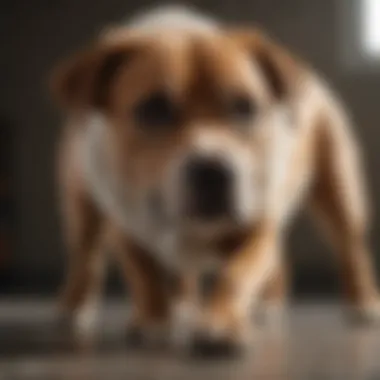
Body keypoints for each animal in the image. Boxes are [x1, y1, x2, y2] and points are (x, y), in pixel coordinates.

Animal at [49, 5, 380, 354]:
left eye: (245, 108)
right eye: (153, 109)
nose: (213, 170)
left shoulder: (256, 226)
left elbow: (234, 276)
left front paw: (220, 324)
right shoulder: (126, 223)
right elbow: (144, 274)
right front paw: (155, 320)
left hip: (340, 192)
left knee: (349, 248)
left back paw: (362, 302)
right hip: (80, 204)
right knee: (86, 258)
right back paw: (78, 306)